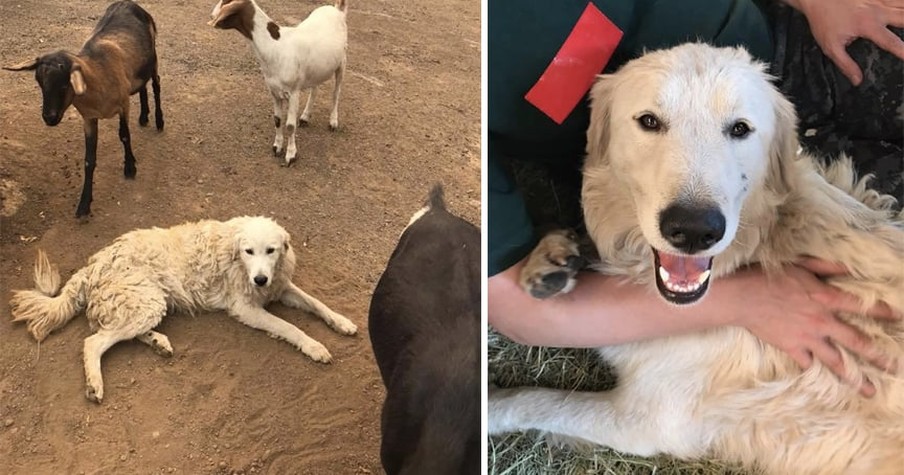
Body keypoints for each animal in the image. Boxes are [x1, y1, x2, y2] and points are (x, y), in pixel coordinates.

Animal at [3, 0, 164, 219]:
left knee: (155, 85)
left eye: (64, 85)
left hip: (154, 59)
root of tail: (129, 3)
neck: (98, 77)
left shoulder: (123, 104)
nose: (49, 118)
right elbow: (89, 160)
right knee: (143, 86)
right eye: (40, 83)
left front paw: (130, 167)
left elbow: (124, 136)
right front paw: (84, 204)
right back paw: (144, 116)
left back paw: (159, 120)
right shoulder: (89, 118)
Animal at [10, 218, 358, 404]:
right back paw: (95, 384)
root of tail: (92, 264)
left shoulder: (281, 286)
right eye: (249, 251)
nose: (260, 279)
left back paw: (158, 343)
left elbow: (317, 303)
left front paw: (342, 322)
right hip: (146, 301)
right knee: (93, 342)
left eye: (270, 251)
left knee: (115, 333)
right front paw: (315, 346)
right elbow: (291, 327)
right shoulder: (246, 308)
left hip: (146, 304)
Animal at [210, 0, 348, 165]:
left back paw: (333, 121)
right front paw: (277, 147)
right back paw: (305, 116)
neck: (275, 47)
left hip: (342, 62)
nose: (211, 15)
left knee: (336, 92)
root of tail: (337, 10)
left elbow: (290, 125)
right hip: (317, 67)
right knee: (315, 88)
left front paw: (291, 155)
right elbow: (277, 120)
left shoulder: (294, 92)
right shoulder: (274, 91)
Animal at [490, 42, 904, 474]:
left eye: (739, 129)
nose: (693, 230)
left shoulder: (643, 421)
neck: (766, 245)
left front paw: (486, 405)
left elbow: (530, 399)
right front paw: (550, 257)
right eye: (649, 121)